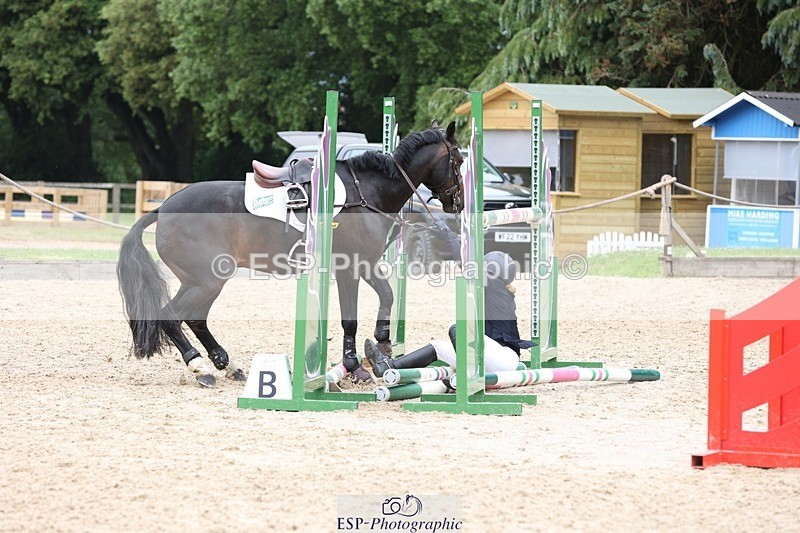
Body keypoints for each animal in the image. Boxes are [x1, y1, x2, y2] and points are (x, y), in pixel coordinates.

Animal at [117, 122, 464, 386]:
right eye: (459, 161)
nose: (457, 203)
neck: (367, 193)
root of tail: (163, 208)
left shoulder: (365, 264)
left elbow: (387, 295)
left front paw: (382, 343)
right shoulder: (349, 268)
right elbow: (350, 320)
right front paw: (356, 365)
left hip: (206, 281)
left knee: (195, 319)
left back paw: (226, 365)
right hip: (205, 281)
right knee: (171, 317)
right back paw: (199, 366)